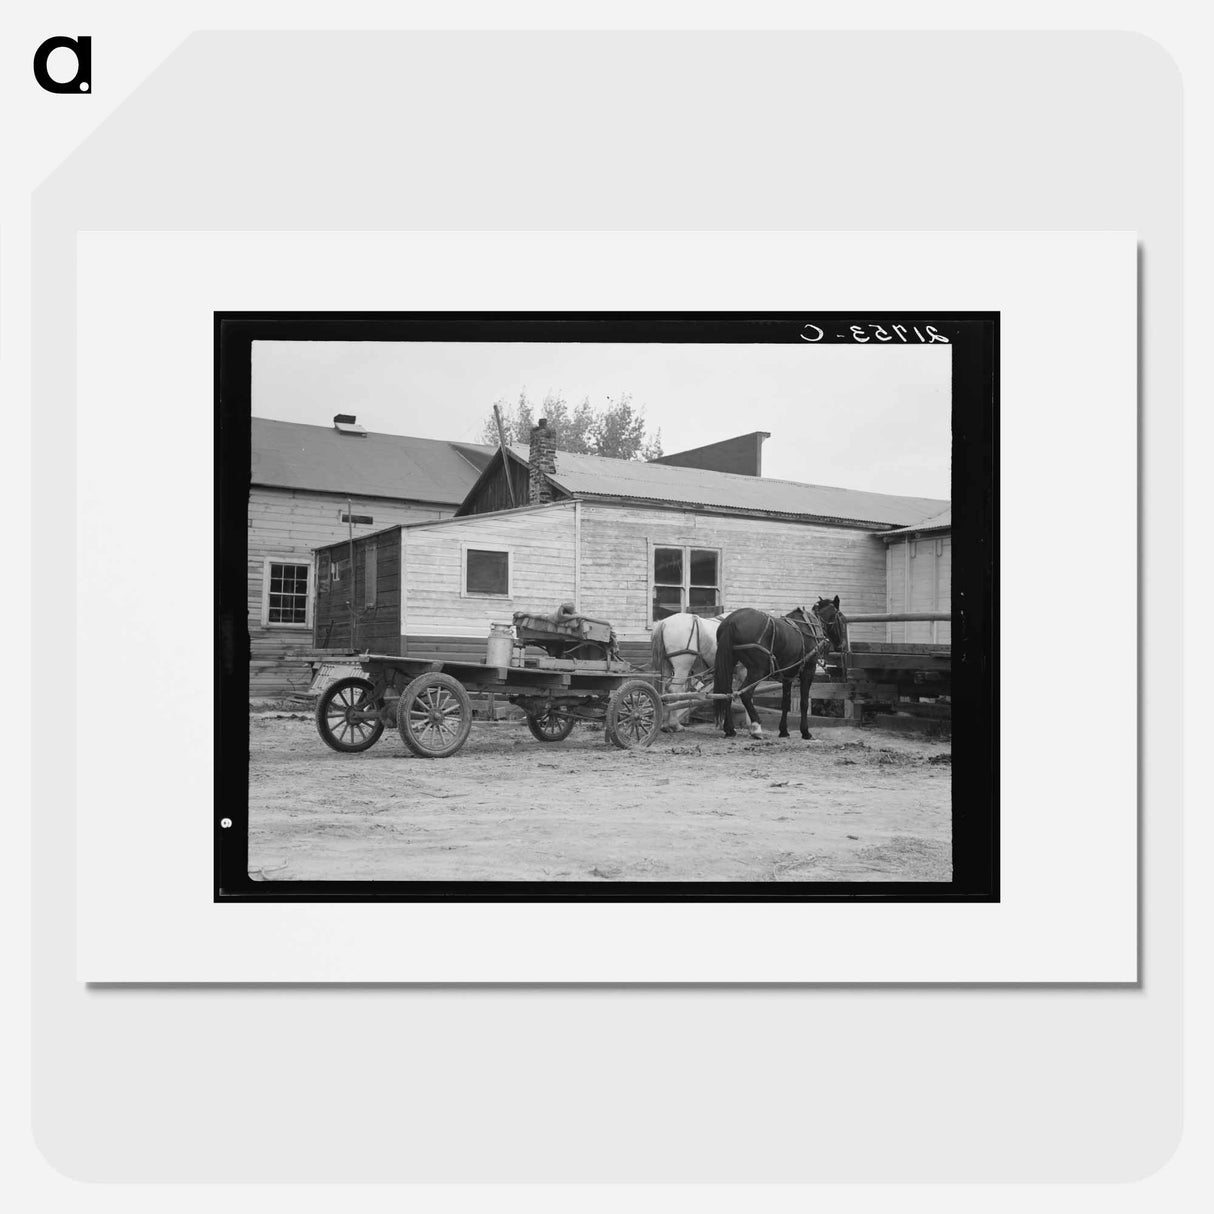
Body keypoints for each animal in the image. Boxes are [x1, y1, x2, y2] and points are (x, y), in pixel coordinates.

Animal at [708, 597, 844, 738]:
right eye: (841, 618)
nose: (841, 645)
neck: (810, 627)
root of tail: (731, 622)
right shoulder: (808, 670)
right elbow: (804, 703)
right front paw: (805, 732)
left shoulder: (787, 676)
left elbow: (785, 702)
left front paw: (783, 730)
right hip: (758, 670)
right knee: (745, 694)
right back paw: (756, 727)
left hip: (730, 663)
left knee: (727, 693)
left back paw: (730, 729)